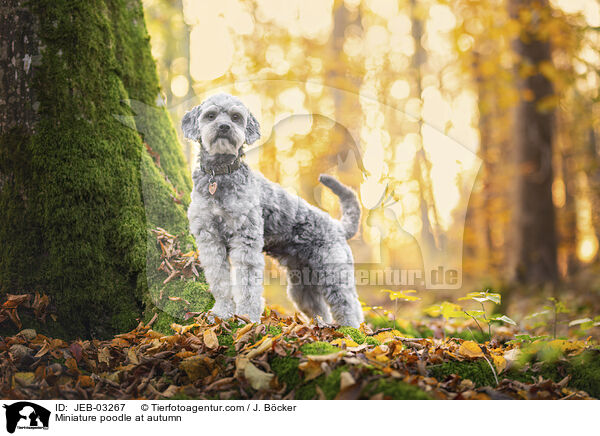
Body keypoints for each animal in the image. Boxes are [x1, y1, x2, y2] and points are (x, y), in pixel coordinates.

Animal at [183, 93, 364, 328]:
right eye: (211, 115)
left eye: (235, 116)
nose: (224, 127)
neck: (220, 176)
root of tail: (337, 226)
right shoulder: (209, 239)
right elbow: (219, 280)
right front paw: (222, 312)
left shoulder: (245, 239)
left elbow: (248, 285)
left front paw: (247, 318)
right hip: (302, 284)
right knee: (320, 309)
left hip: (335, 273)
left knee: (348, 305)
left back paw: (353, 330)